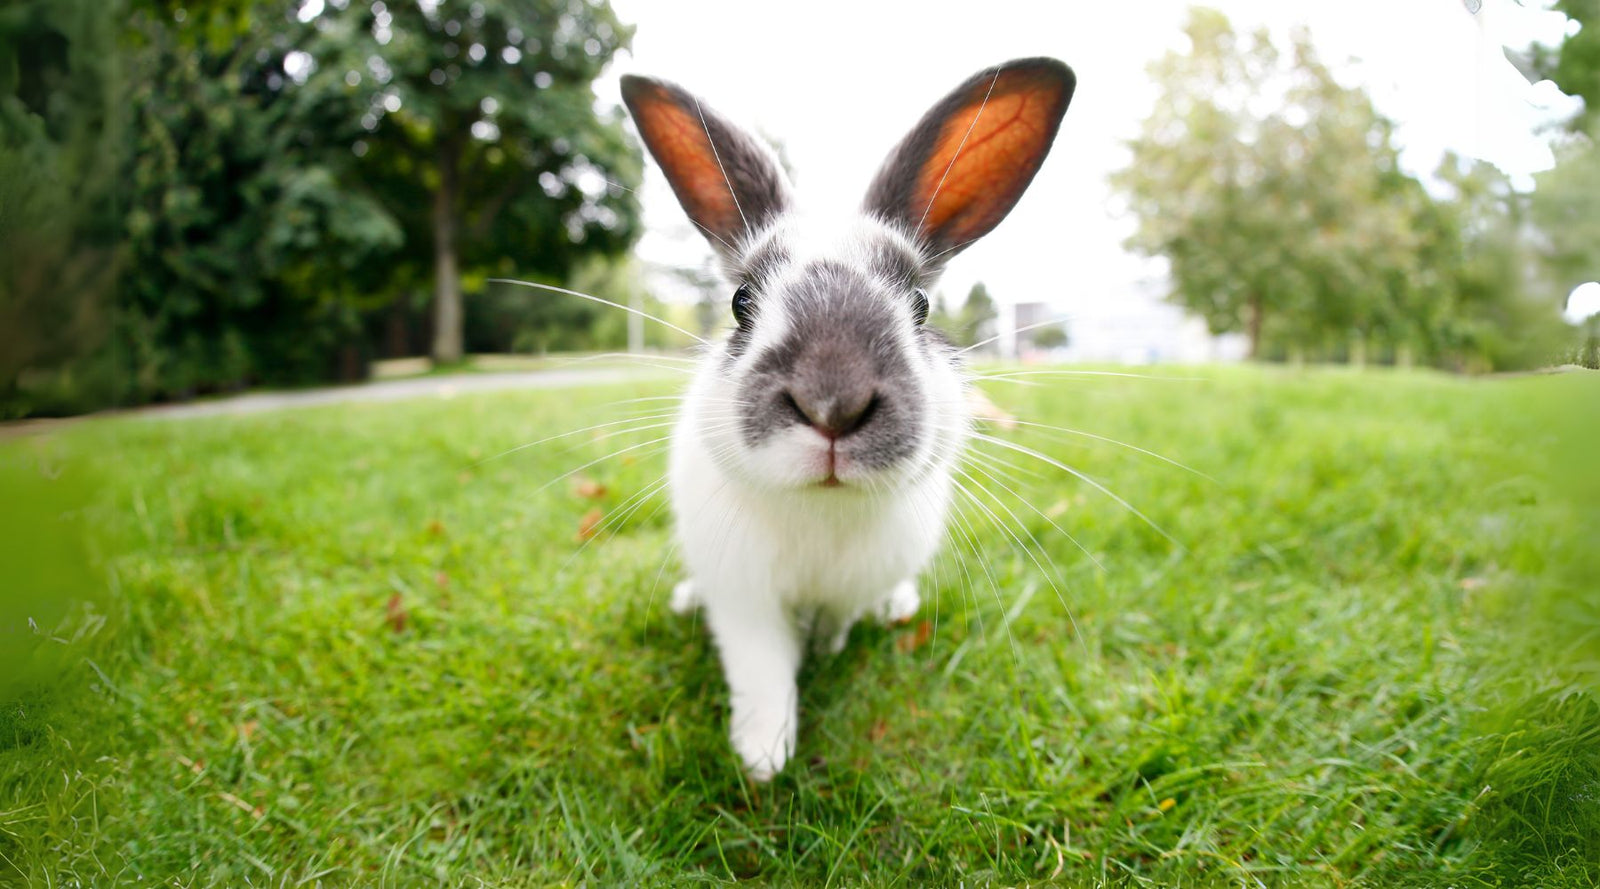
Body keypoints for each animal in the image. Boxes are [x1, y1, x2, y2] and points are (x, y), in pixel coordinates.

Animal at [620, 57, 1076, 780]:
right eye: (741, 302)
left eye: (921, 305)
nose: (832, 402)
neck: (821, 510)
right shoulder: (745, 602)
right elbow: (764, 672)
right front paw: (762, 756)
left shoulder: (848, 589)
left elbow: (833, 625)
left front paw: (825, 655)